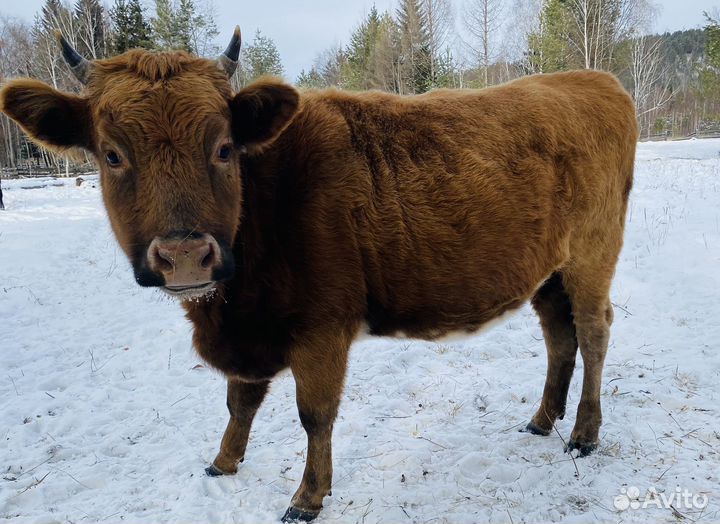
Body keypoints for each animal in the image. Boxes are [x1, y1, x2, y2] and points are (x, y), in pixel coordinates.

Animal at [0, 28, 638, 522]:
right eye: (111, 154)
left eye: (224, 147)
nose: (184, 255)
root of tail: (592, 80)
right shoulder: (250, 331)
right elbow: (239, 401)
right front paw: (222, 463)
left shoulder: (321, 329)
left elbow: (314, 414)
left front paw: (307, 497)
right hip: (547, 275)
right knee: (559, 337)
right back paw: (541, 420)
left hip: (592, 257)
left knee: (594, 332)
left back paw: (584, 434)